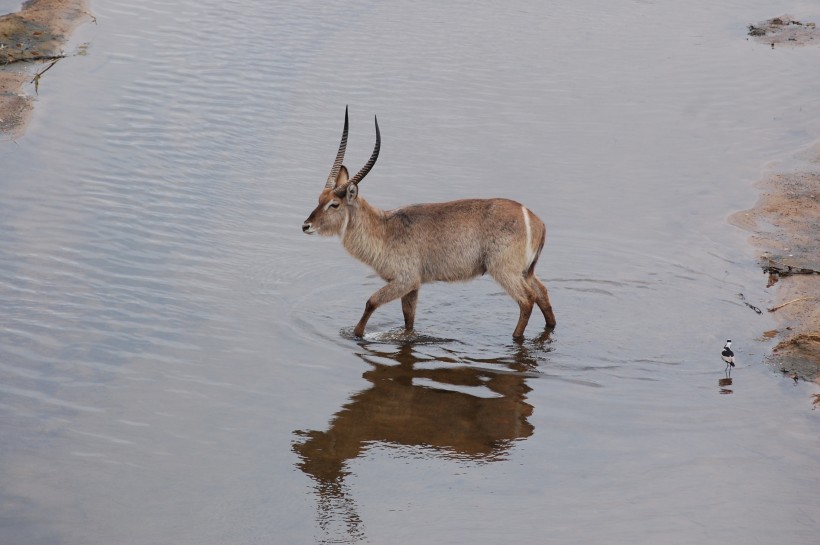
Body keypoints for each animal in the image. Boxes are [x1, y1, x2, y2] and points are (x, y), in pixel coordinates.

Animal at [302, 108, 556, 338]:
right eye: (319, 199)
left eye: (334, 204)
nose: (306, 226)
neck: (384, 228)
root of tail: (534, 219)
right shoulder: (413, 286)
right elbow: (408, 321)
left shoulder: (405, 279)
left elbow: (371, 302)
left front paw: (356, 334)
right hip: (525, 271)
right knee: (542, 293)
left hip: (504, 270)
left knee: (527, 299)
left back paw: (515, 337)